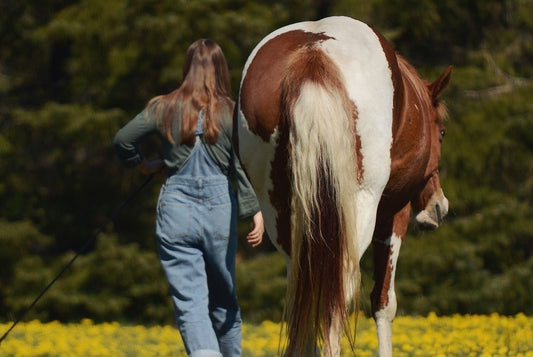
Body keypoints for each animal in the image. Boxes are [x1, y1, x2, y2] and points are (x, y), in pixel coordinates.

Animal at [235, 16, 450, 356]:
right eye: (441, 132)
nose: (439, 206)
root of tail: (313, 55)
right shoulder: (393, 213)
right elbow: (383, 302)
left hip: (280, 212)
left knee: (304, 291)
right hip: (358, 210)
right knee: (338, 290)